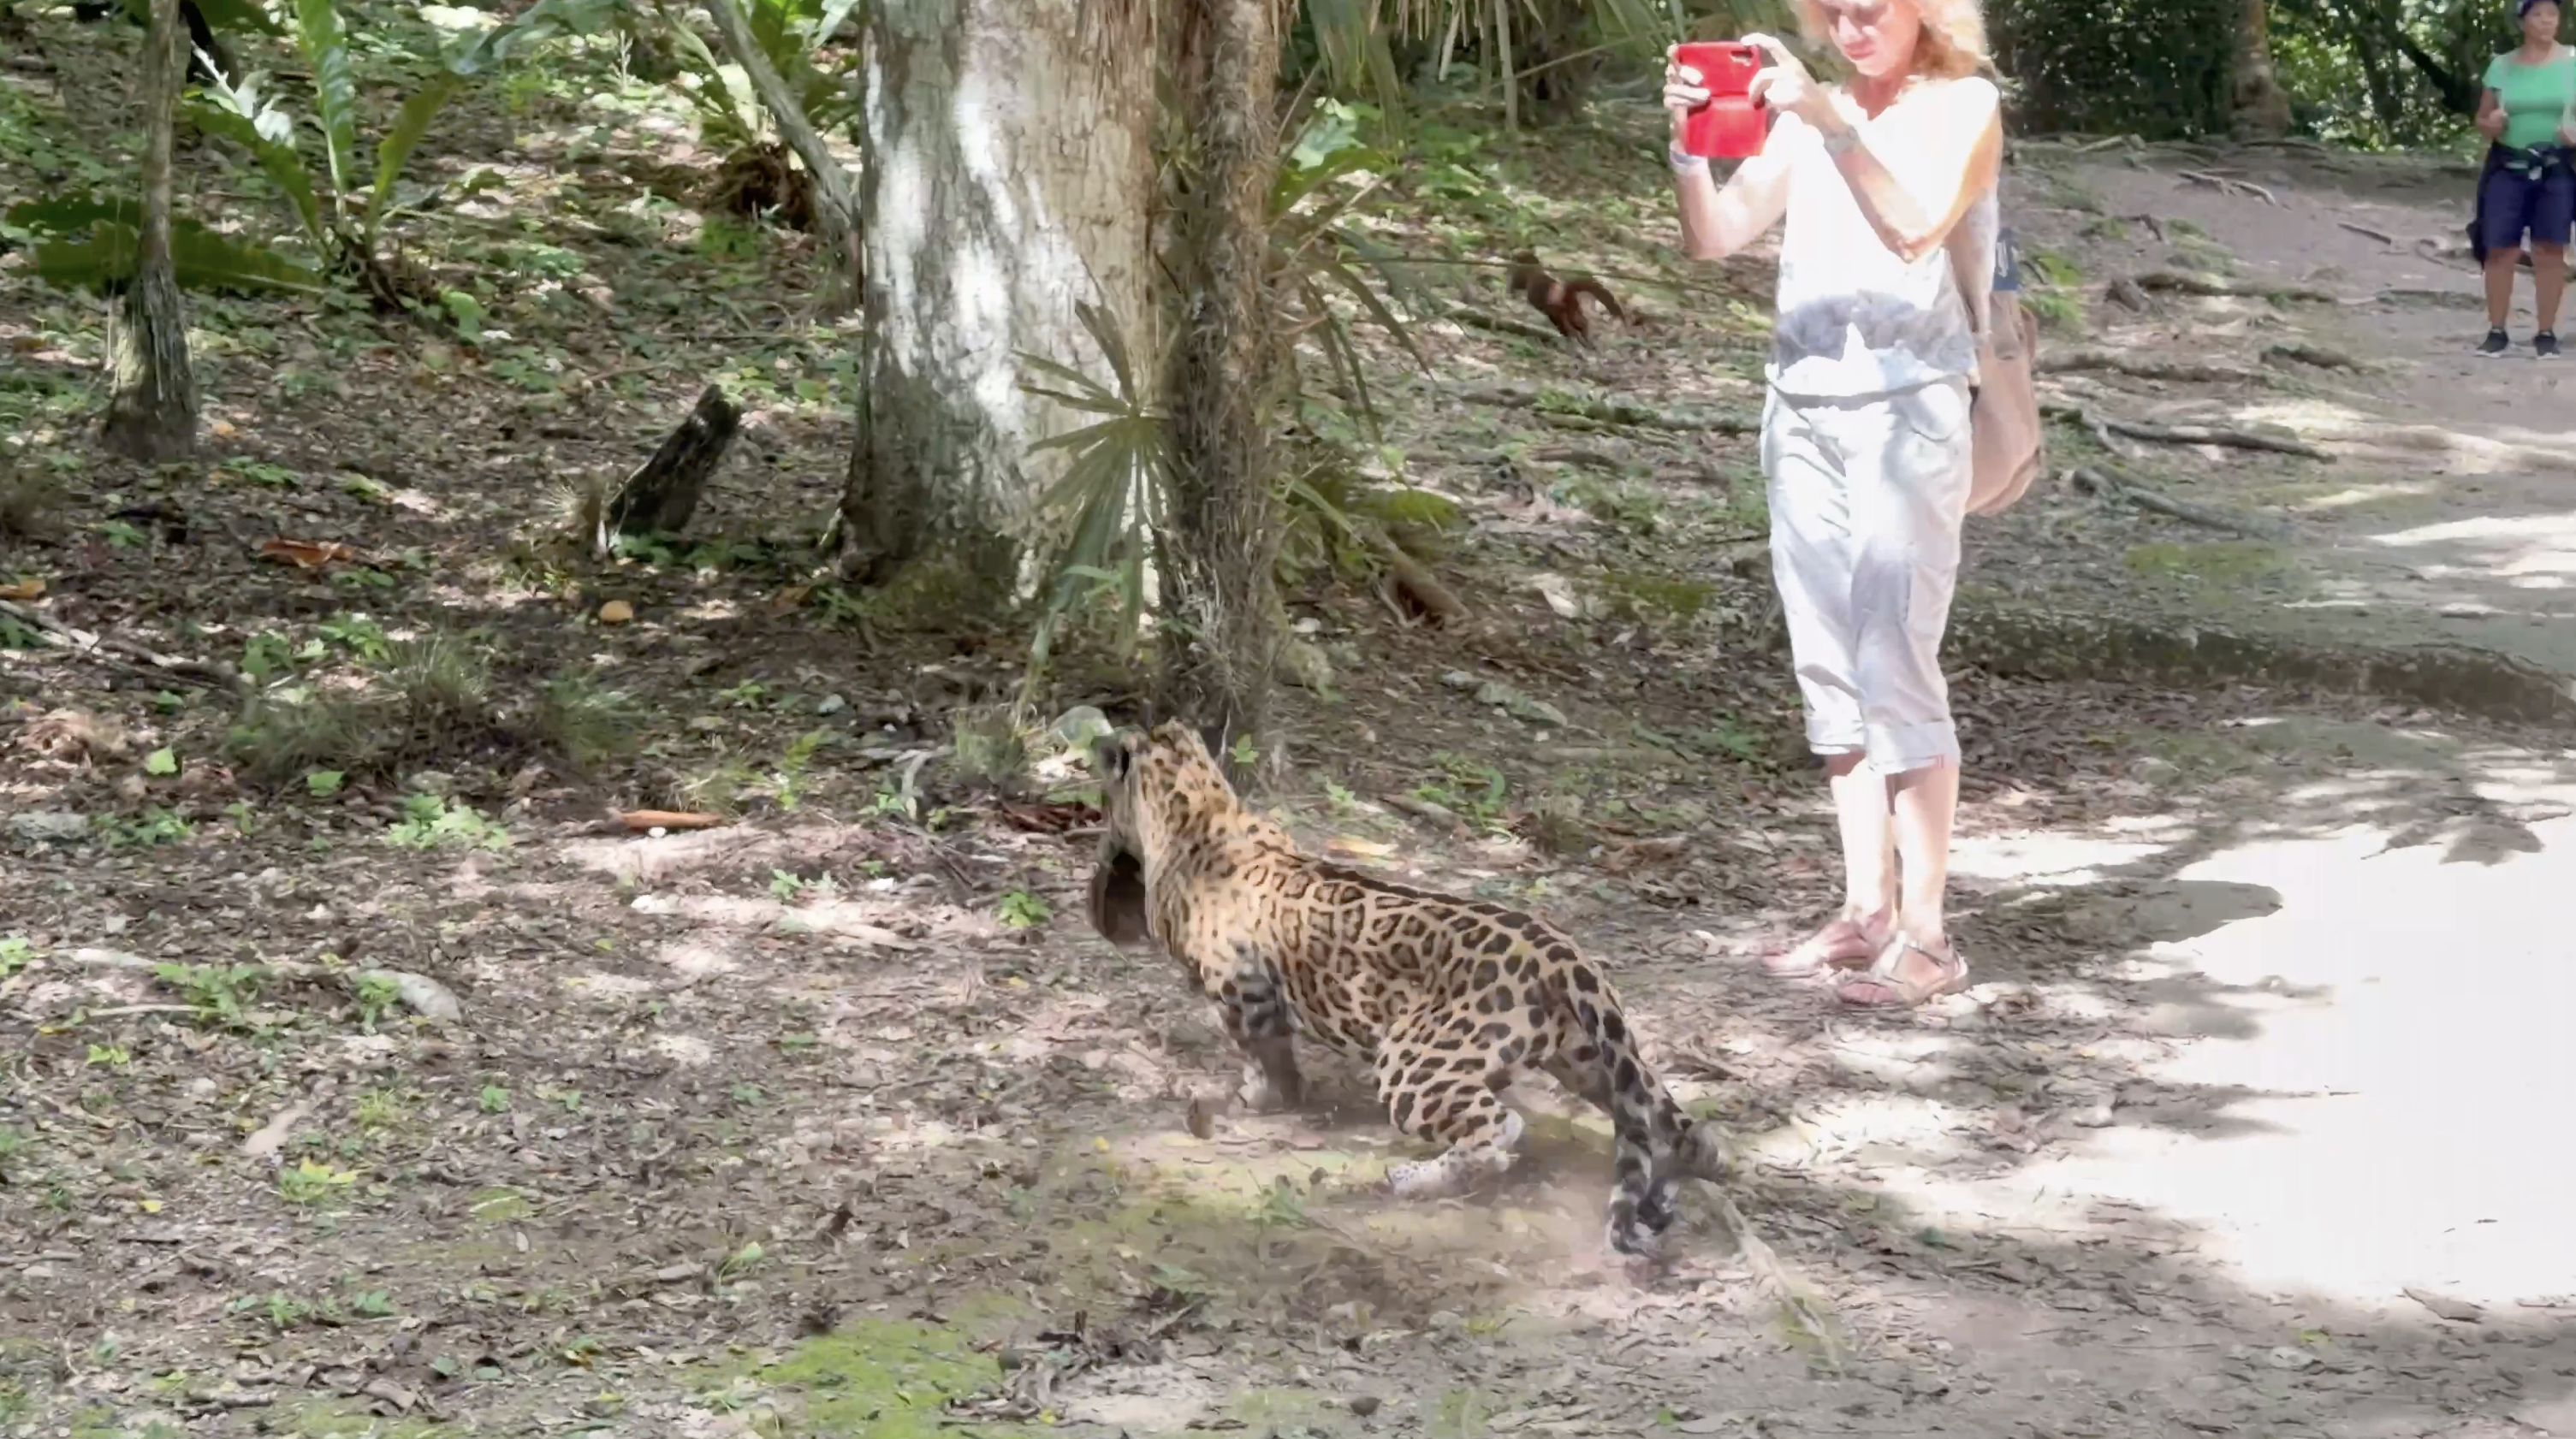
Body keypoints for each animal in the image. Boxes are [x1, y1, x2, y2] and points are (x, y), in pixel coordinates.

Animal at [1084, 721, 1730, 1257]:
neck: (1200, 804)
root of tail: (1565, 956)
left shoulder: (1241, 987)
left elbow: (1262, 1056)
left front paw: (1253, 1099)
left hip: (1415, 1062)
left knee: (1500, 1129)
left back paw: (1414, 1180)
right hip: (1593, 1059)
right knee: (1679, 1129)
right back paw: (1668, 1186)